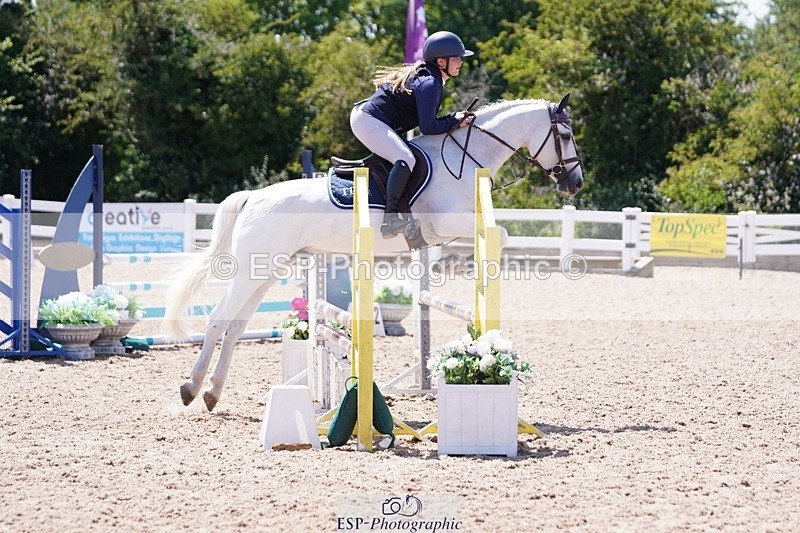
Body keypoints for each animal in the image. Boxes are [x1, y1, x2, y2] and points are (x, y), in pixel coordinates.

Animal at [166, 94, 584, 411]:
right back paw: (190, 387)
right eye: (564, 134)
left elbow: (489, 236)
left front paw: (456, 264)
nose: (575, 183)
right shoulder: (447, 221)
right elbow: (502, 233)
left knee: (235, 326)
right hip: (254, 270)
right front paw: (462, 264)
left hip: (266, 272)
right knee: (218, 320)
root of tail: (253, 196)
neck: (465, 158)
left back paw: (212, 392)